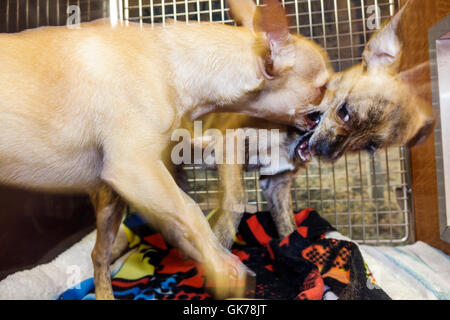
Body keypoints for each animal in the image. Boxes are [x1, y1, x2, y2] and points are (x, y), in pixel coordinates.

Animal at [0, 0, 330, 300]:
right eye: (323, 87)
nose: (335, 112)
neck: (171, 64)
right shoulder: (134, 166)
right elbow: (191, 210)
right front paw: (223, 264)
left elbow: (185, 214)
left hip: (111, 207)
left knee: (99, 255)